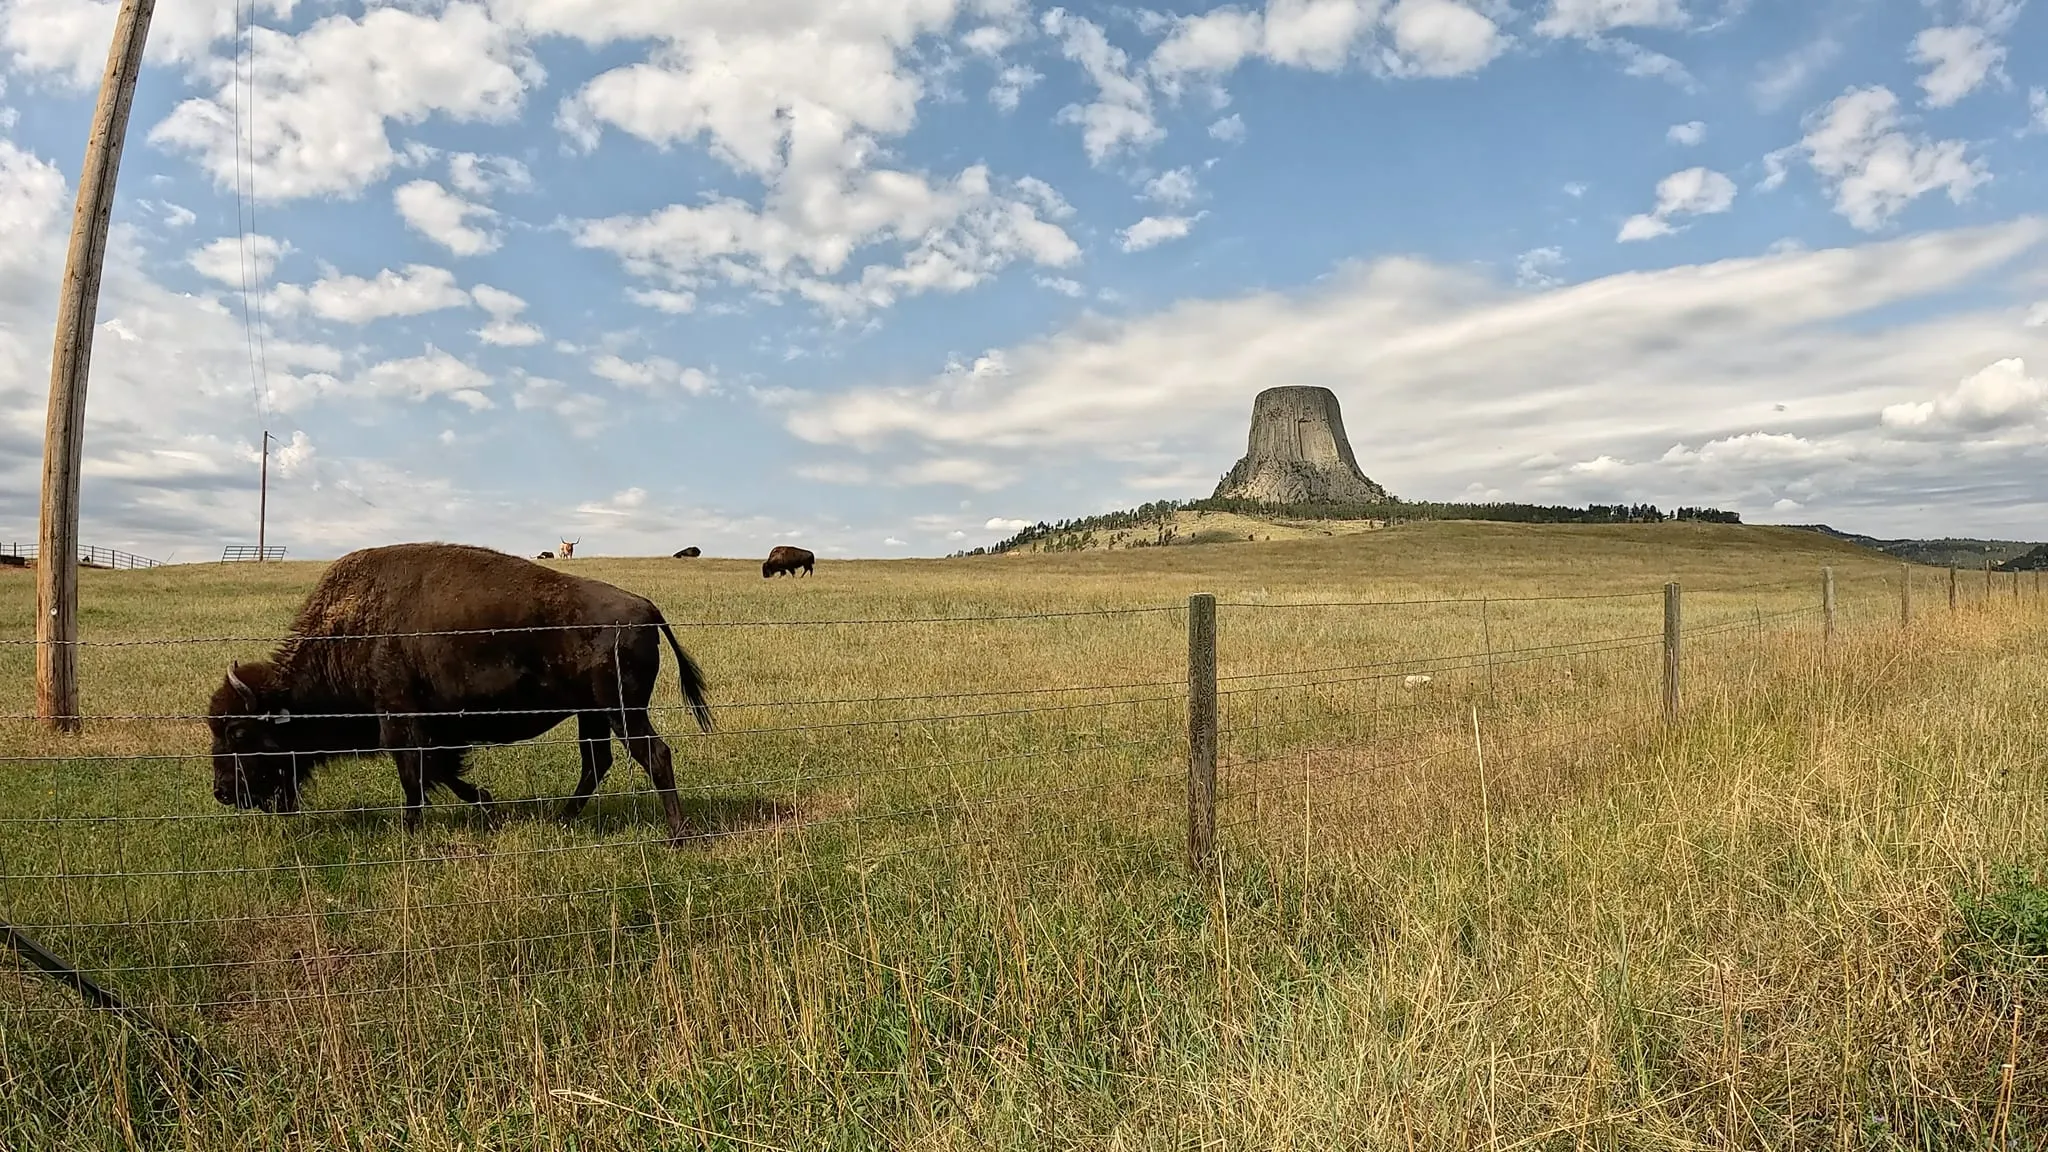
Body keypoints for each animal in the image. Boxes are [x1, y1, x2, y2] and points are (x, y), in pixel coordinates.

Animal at [206, 542, 714, 842]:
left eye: (238, 733)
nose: (223, 793)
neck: (349, 631)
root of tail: (645, 607)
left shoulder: (400, 722)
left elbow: (415, 777)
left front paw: (410, 833)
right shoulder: (436, 730)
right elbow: (441, 771)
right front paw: (487, 804)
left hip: (622, 711)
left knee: (654, 755)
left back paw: (677, 834)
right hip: (592, 715)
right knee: (597, 763)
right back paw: (563, 819)